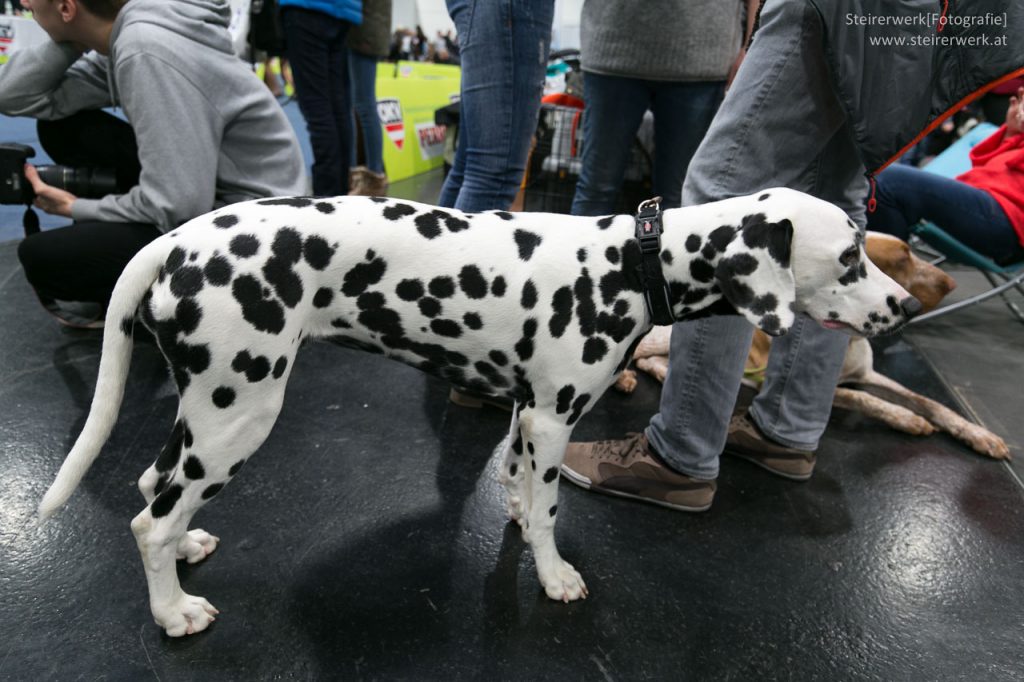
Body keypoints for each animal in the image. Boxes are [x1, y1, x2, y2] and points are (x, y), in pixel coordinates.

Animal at [37, 184, 921, 630]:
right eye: (850, 255)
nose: (908, 307)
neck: (631, 261)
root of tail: (174, 240)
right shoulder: (553, 419)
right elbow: (553, 511)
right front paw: (555, 575)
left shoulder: (527, 417)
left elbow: (524, 489)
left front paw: (522, 525)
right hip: (238, 415)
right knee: (148, 519)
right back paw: (172, 612)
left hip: (208, 415)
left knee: (154, 488)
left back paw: (187, 550)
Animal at [614, 231, 1007, 458]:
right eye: (904, 257)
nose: (952, 283)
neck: (849, 338)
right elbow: (866, 399)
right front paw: (905, 417)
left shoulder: (868, 374)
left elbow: (928, 400)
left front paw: (979, 434)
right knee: (636, 359)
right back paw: (624, 379)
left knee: (652, 363)